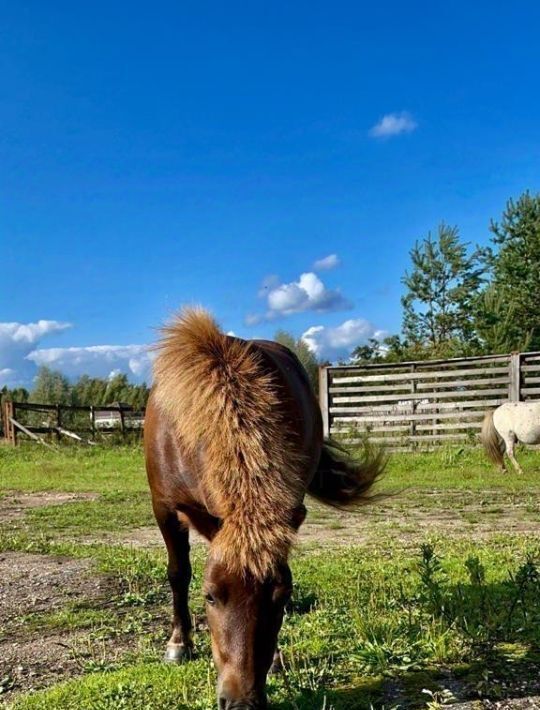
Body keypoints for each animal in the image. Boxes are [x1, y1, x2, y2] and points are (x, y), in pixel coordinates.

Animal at [144, 310, 384, 710]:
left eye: (282, 595)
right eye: (210, 595)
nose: (242, 702)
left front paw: (274, 660)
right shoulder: (163, 506)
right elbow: (178, 573)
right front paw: (179, 643)